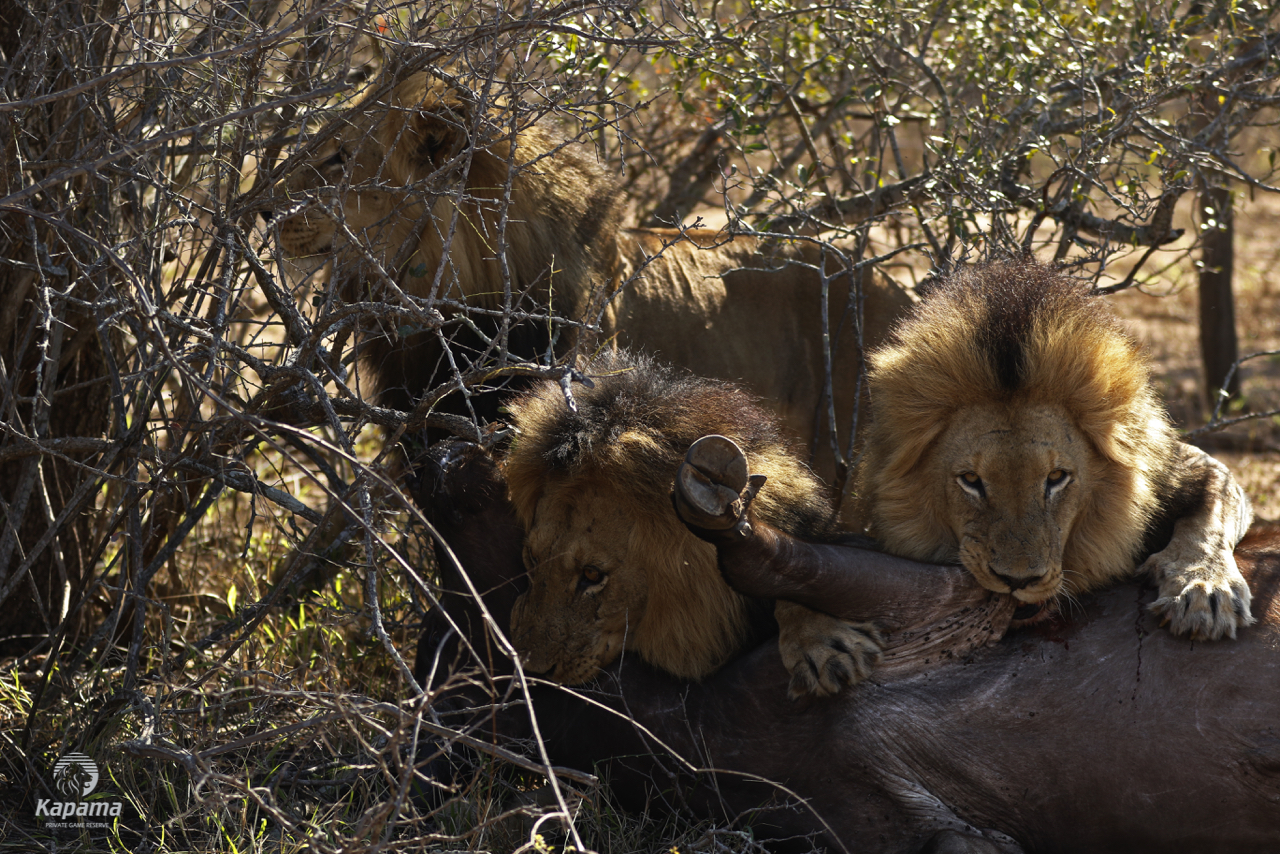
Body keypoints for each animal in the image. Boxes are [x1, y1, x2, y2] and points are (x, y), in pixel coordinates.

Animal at [857, 259, 1254, 640]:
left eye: (1057, 477)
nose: (1017, 580)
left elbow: (1213, 507)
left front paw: (1205, 590)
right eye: (970, 480)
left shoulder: (1179, 467)